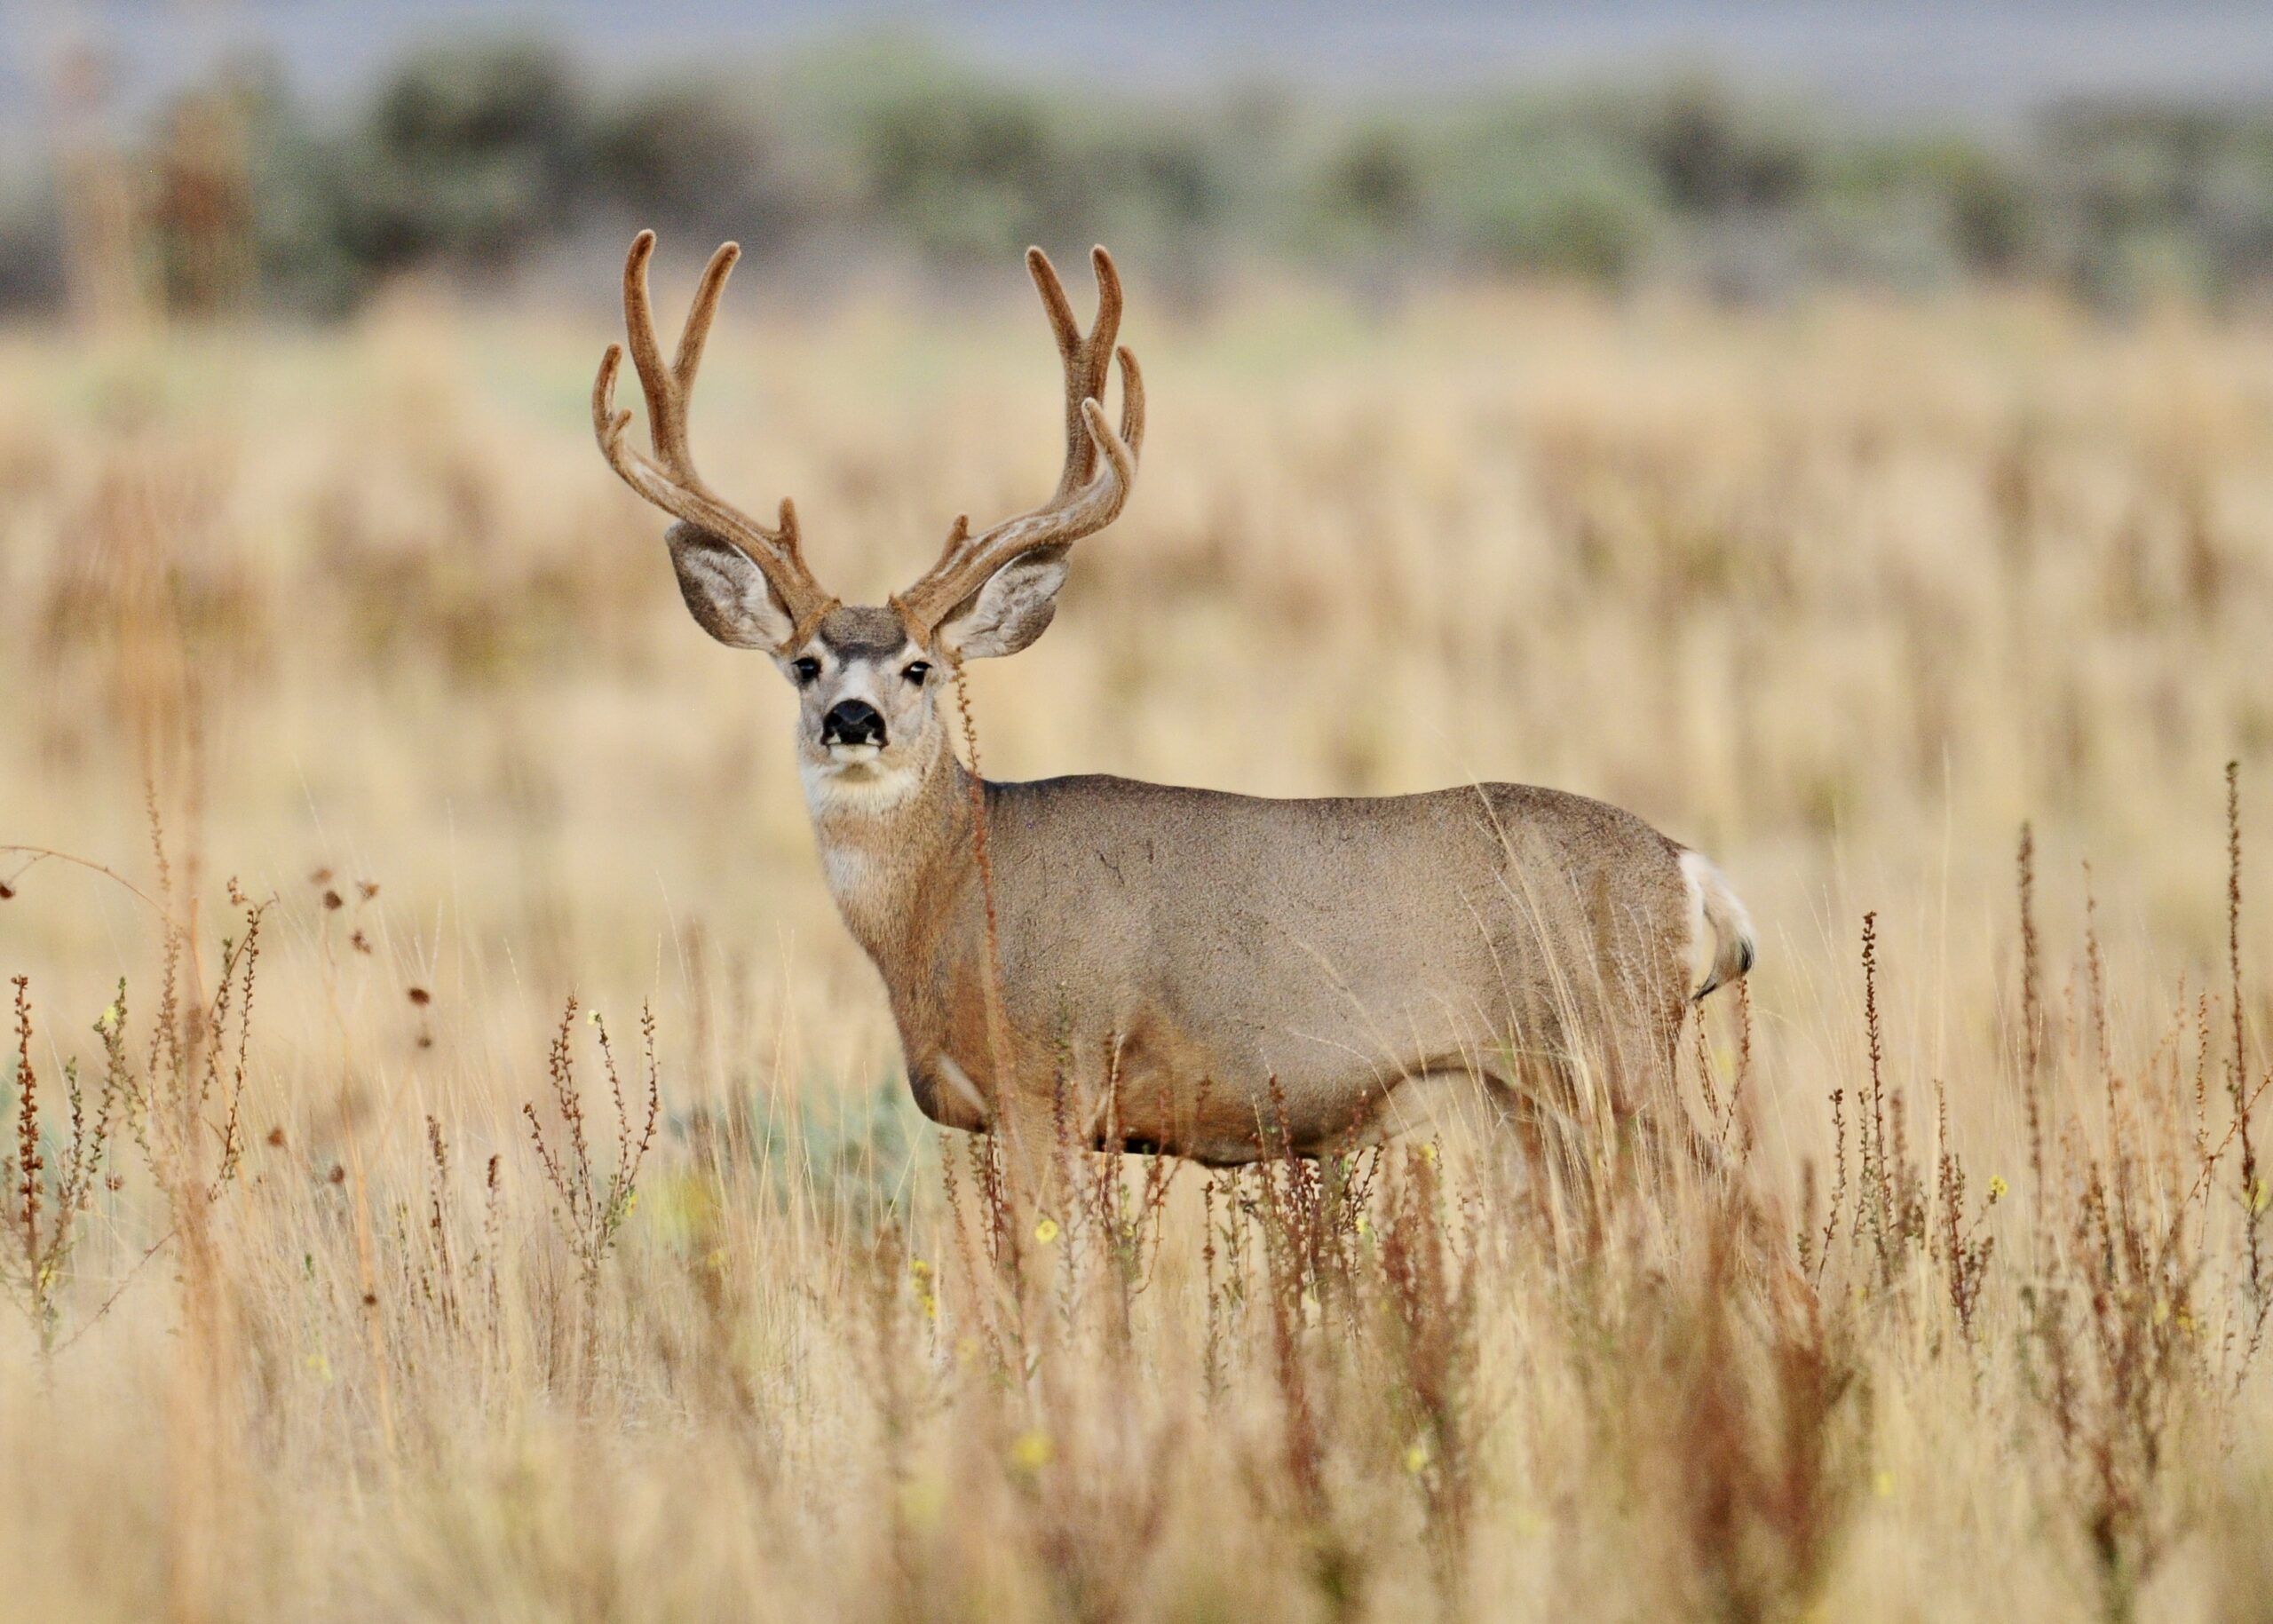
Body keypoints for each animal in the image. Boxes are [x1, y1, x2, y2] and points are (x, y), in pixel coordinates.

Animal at [592, 229, 1756, 1190]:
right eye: (803, 662)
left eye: (919, 666)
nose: (851, 720)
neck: (951, 893)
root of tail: (1685, 867)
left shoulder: (1051, 1077)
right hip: (1531, 1099)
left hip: (1612, 1046)